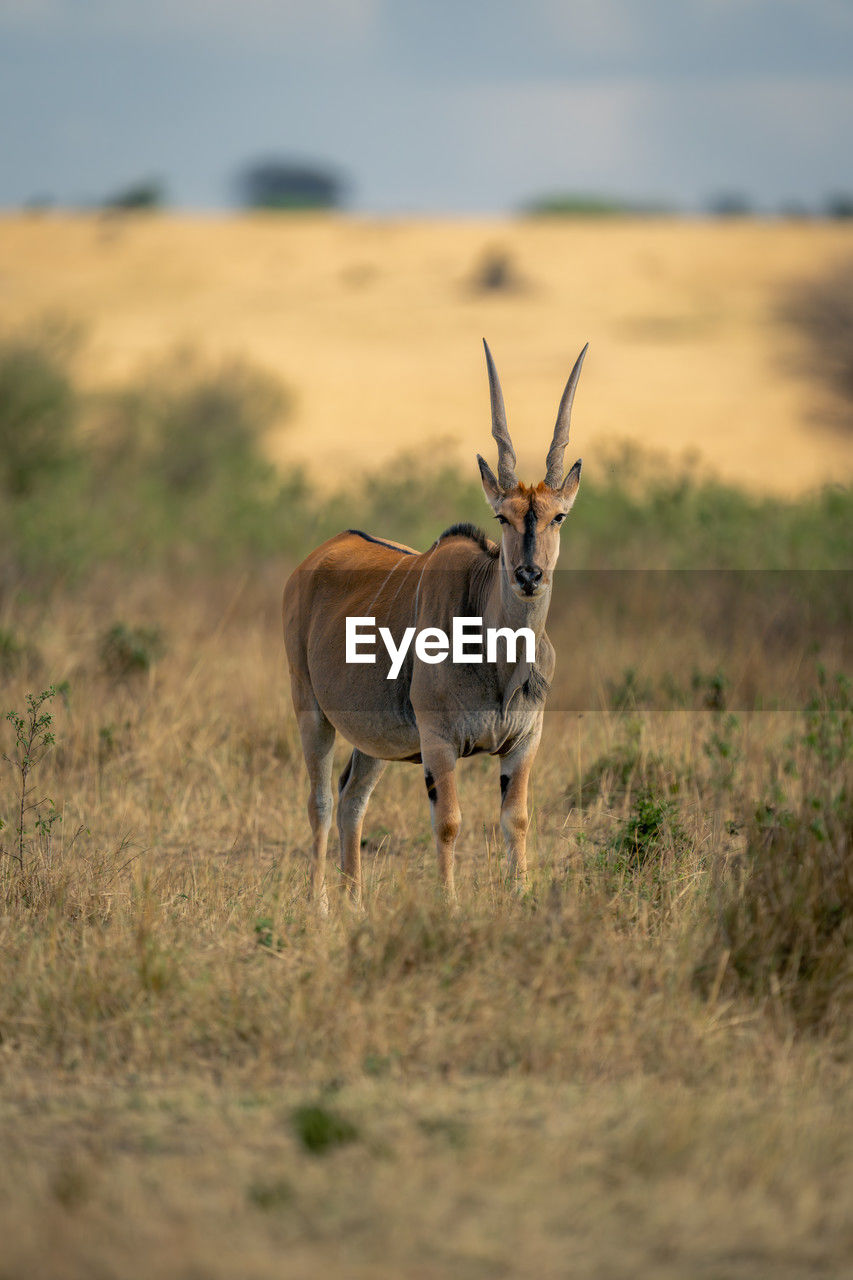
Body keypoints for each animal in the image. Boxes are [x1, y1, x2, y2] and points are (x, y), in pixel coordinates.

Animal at [281, 335, 589, 906]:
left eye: (557, 516)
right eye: (502, 517)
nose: (529, 574)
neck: (498, 661)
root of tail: (315, 559)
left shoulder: (523, 743)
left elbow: (516, 820)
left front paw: (521, 898)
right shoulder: (439, 742)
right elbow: (448, 823)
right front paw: (448, 905)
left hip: (372, 739)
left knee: (352, 799)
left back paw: (355, 903)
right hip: (311, 711)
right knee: (321, 803)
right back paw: (323, 906)